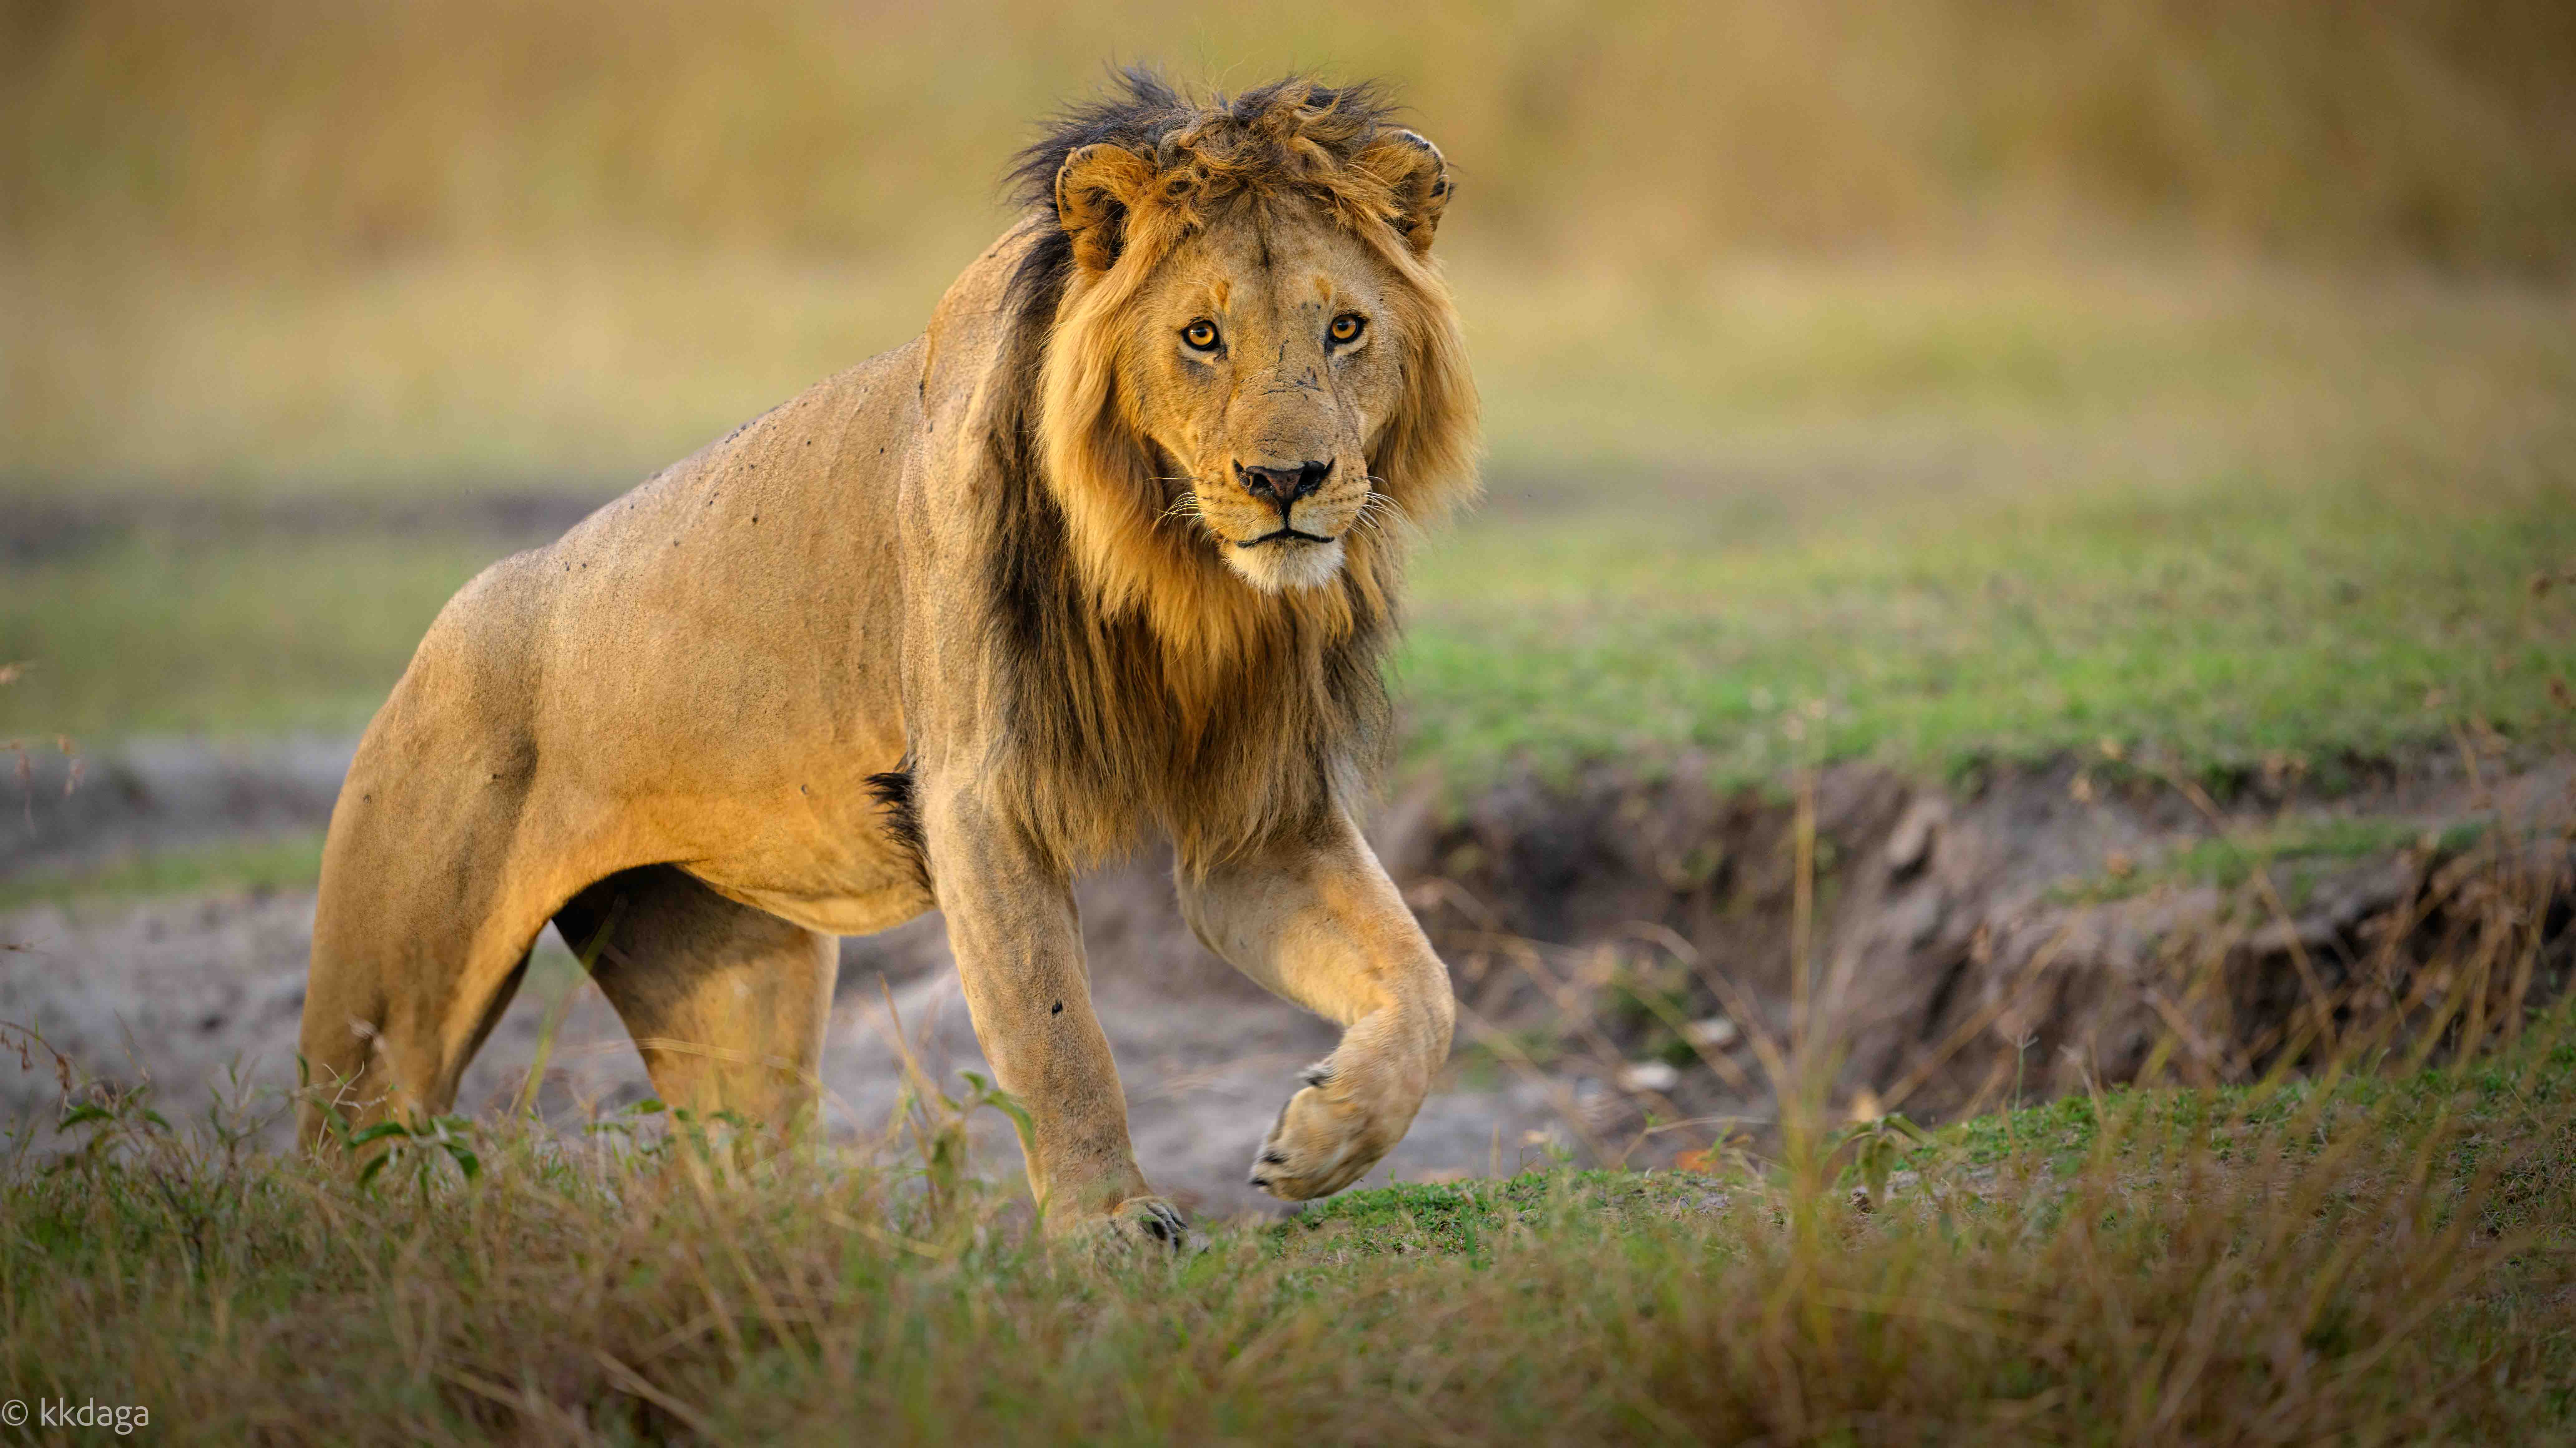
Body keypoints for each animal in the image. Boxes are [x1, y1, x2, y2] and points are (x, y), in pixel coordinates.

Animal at [295, 73, 1484, 1236]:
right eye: (1200, 337)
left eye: (1344, 329)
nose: (1286, 482)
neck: (1179, 579)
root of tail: (443, 634)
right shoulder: (978, 795)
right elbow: (1055, 1032)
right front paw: (1106, 1224)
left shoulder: (1258, 826)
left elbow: (1424, 984)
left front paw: (1325, 1139)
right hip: (390, 1003)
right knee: (342, 1152)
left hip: (734, 991)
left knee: (737, 1173)